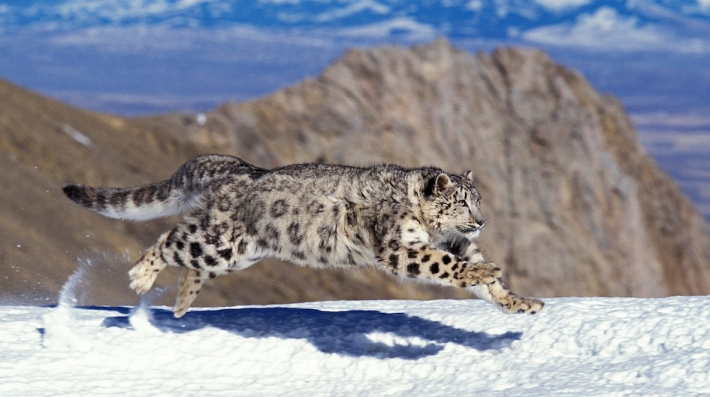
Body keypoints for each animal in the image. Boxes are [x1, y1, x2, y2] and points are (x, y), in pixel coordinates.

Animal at [65, 154, 544, 316]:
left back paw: (182, 303)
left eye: (477, 200)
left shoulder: (452, 241)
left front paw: (519, 301)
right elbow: (445, 264)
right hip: (220, 240)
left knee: (189, 257)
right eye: (462, 202)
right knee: (171, 240)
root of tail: (235, 167)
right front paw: (482, 271)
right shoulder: (399, 246)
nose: (480, 221)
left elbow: (470, 264)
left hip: (238, 252)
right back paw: (141, 277)